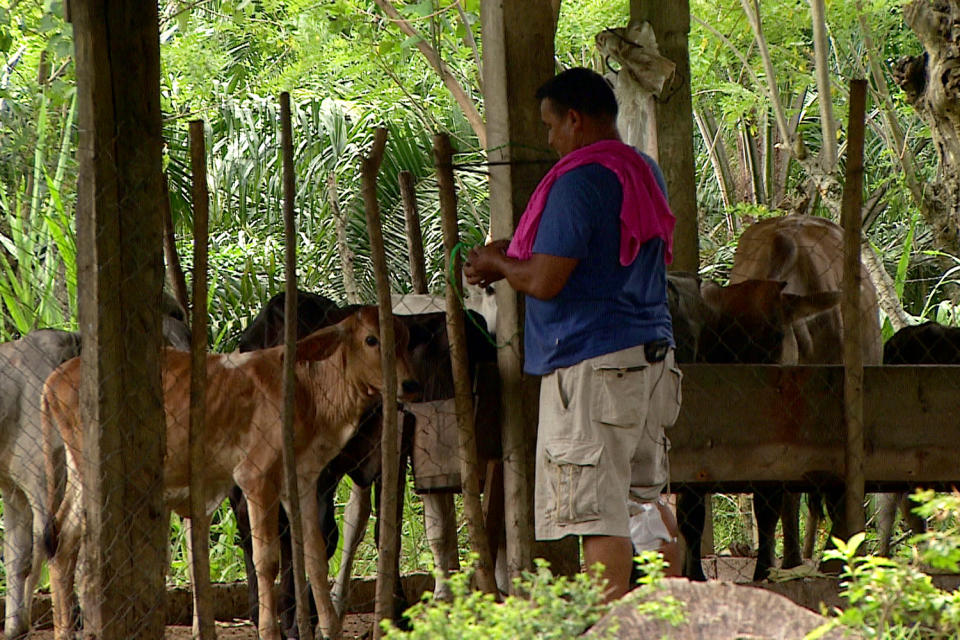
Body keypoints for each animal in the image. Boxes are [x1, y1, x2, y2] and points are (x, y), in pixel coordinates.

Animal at [44, 306, 420, 640]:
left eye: (404, 338)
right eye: (372, 339)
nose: (410, 384)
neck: (306, 391)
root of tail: (53, 380)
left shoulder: (302, 481)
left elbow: (314, 555)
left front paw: (331, 628)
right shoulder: (256, 478)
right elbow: (265, 559)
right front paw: (270, 631)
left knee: (62, 539)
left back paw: (64, 631)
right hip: (95, 470)